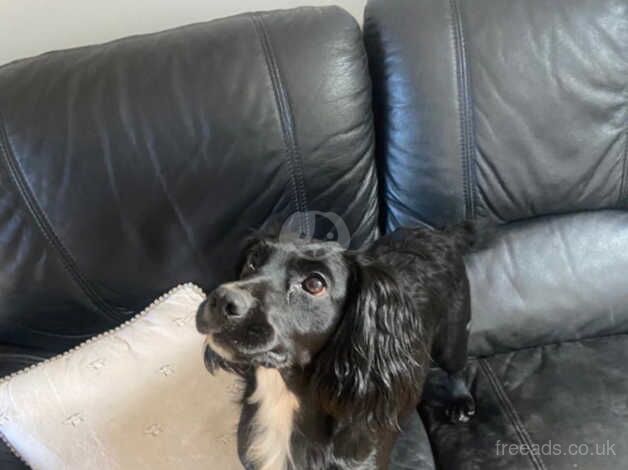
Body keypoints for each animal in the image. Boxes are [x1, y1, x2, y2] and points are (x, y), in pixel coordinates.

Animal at [196, 225, 476, 470]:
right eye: (253, 260)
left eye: (314, 284)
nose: (221, 300)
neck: (282, 393)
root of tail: (435, 232)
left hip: (452, 337)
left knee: (460, 367)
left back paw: (461, 400)